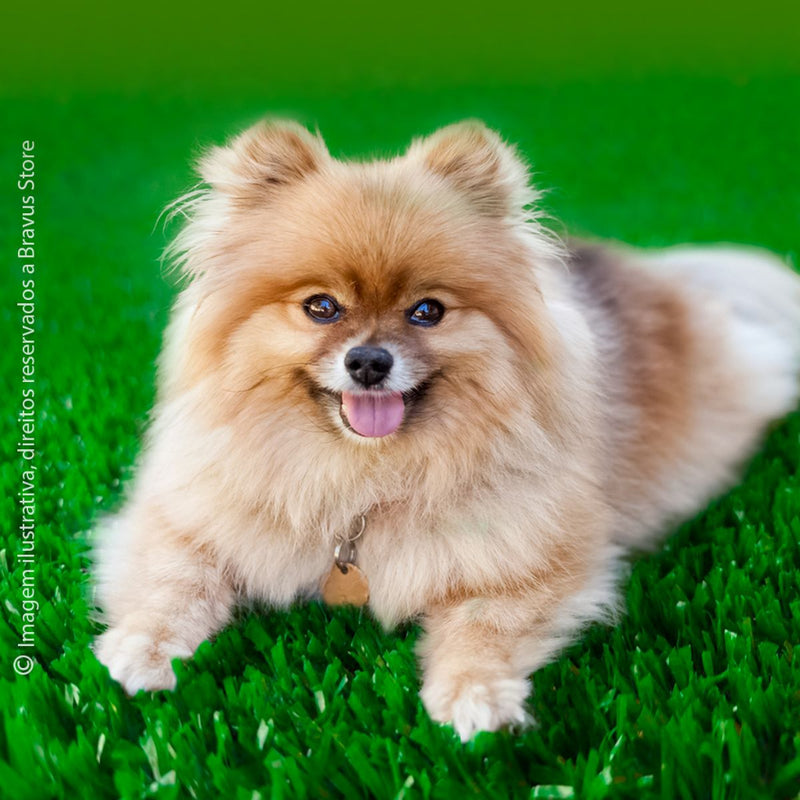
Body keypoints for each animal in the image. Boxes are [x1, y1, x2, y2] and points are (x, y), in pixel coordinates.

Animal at [95, 122, 800, 740]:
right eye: (321, 307)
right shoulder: (189, 514)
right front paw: (143, 648)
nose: (369, 361)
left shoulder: (532, 558)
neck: (361, 476)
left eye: (427, 311)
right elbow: (175, 578)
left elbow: (483, 626)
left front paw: (473, 696)